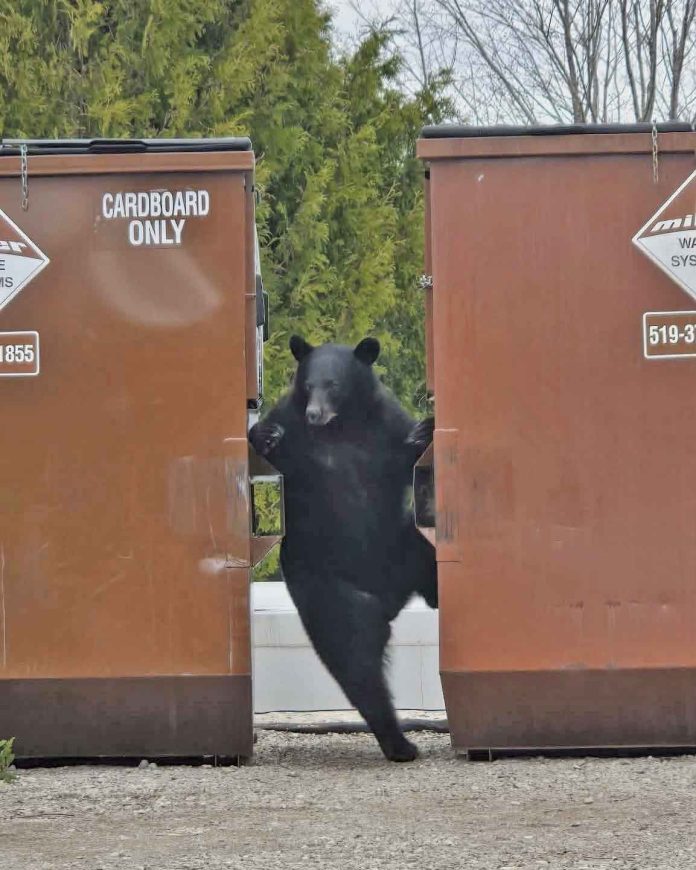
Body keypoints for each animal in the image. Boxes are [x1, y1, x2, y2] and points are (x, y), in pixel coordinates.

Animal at [249, 335, 436, 761]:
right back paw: (399, 743)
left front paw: (425, 429)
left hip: (406, 543)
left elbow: (407, 458)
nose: (315, 413)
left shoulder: (384, 426)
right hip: (327, 590)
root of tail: (388, 597)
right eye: (308, 384)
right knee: (356, 659)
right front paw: (264, 435)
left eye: (333, 384)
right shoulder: (296, 434)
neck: (342, 427)